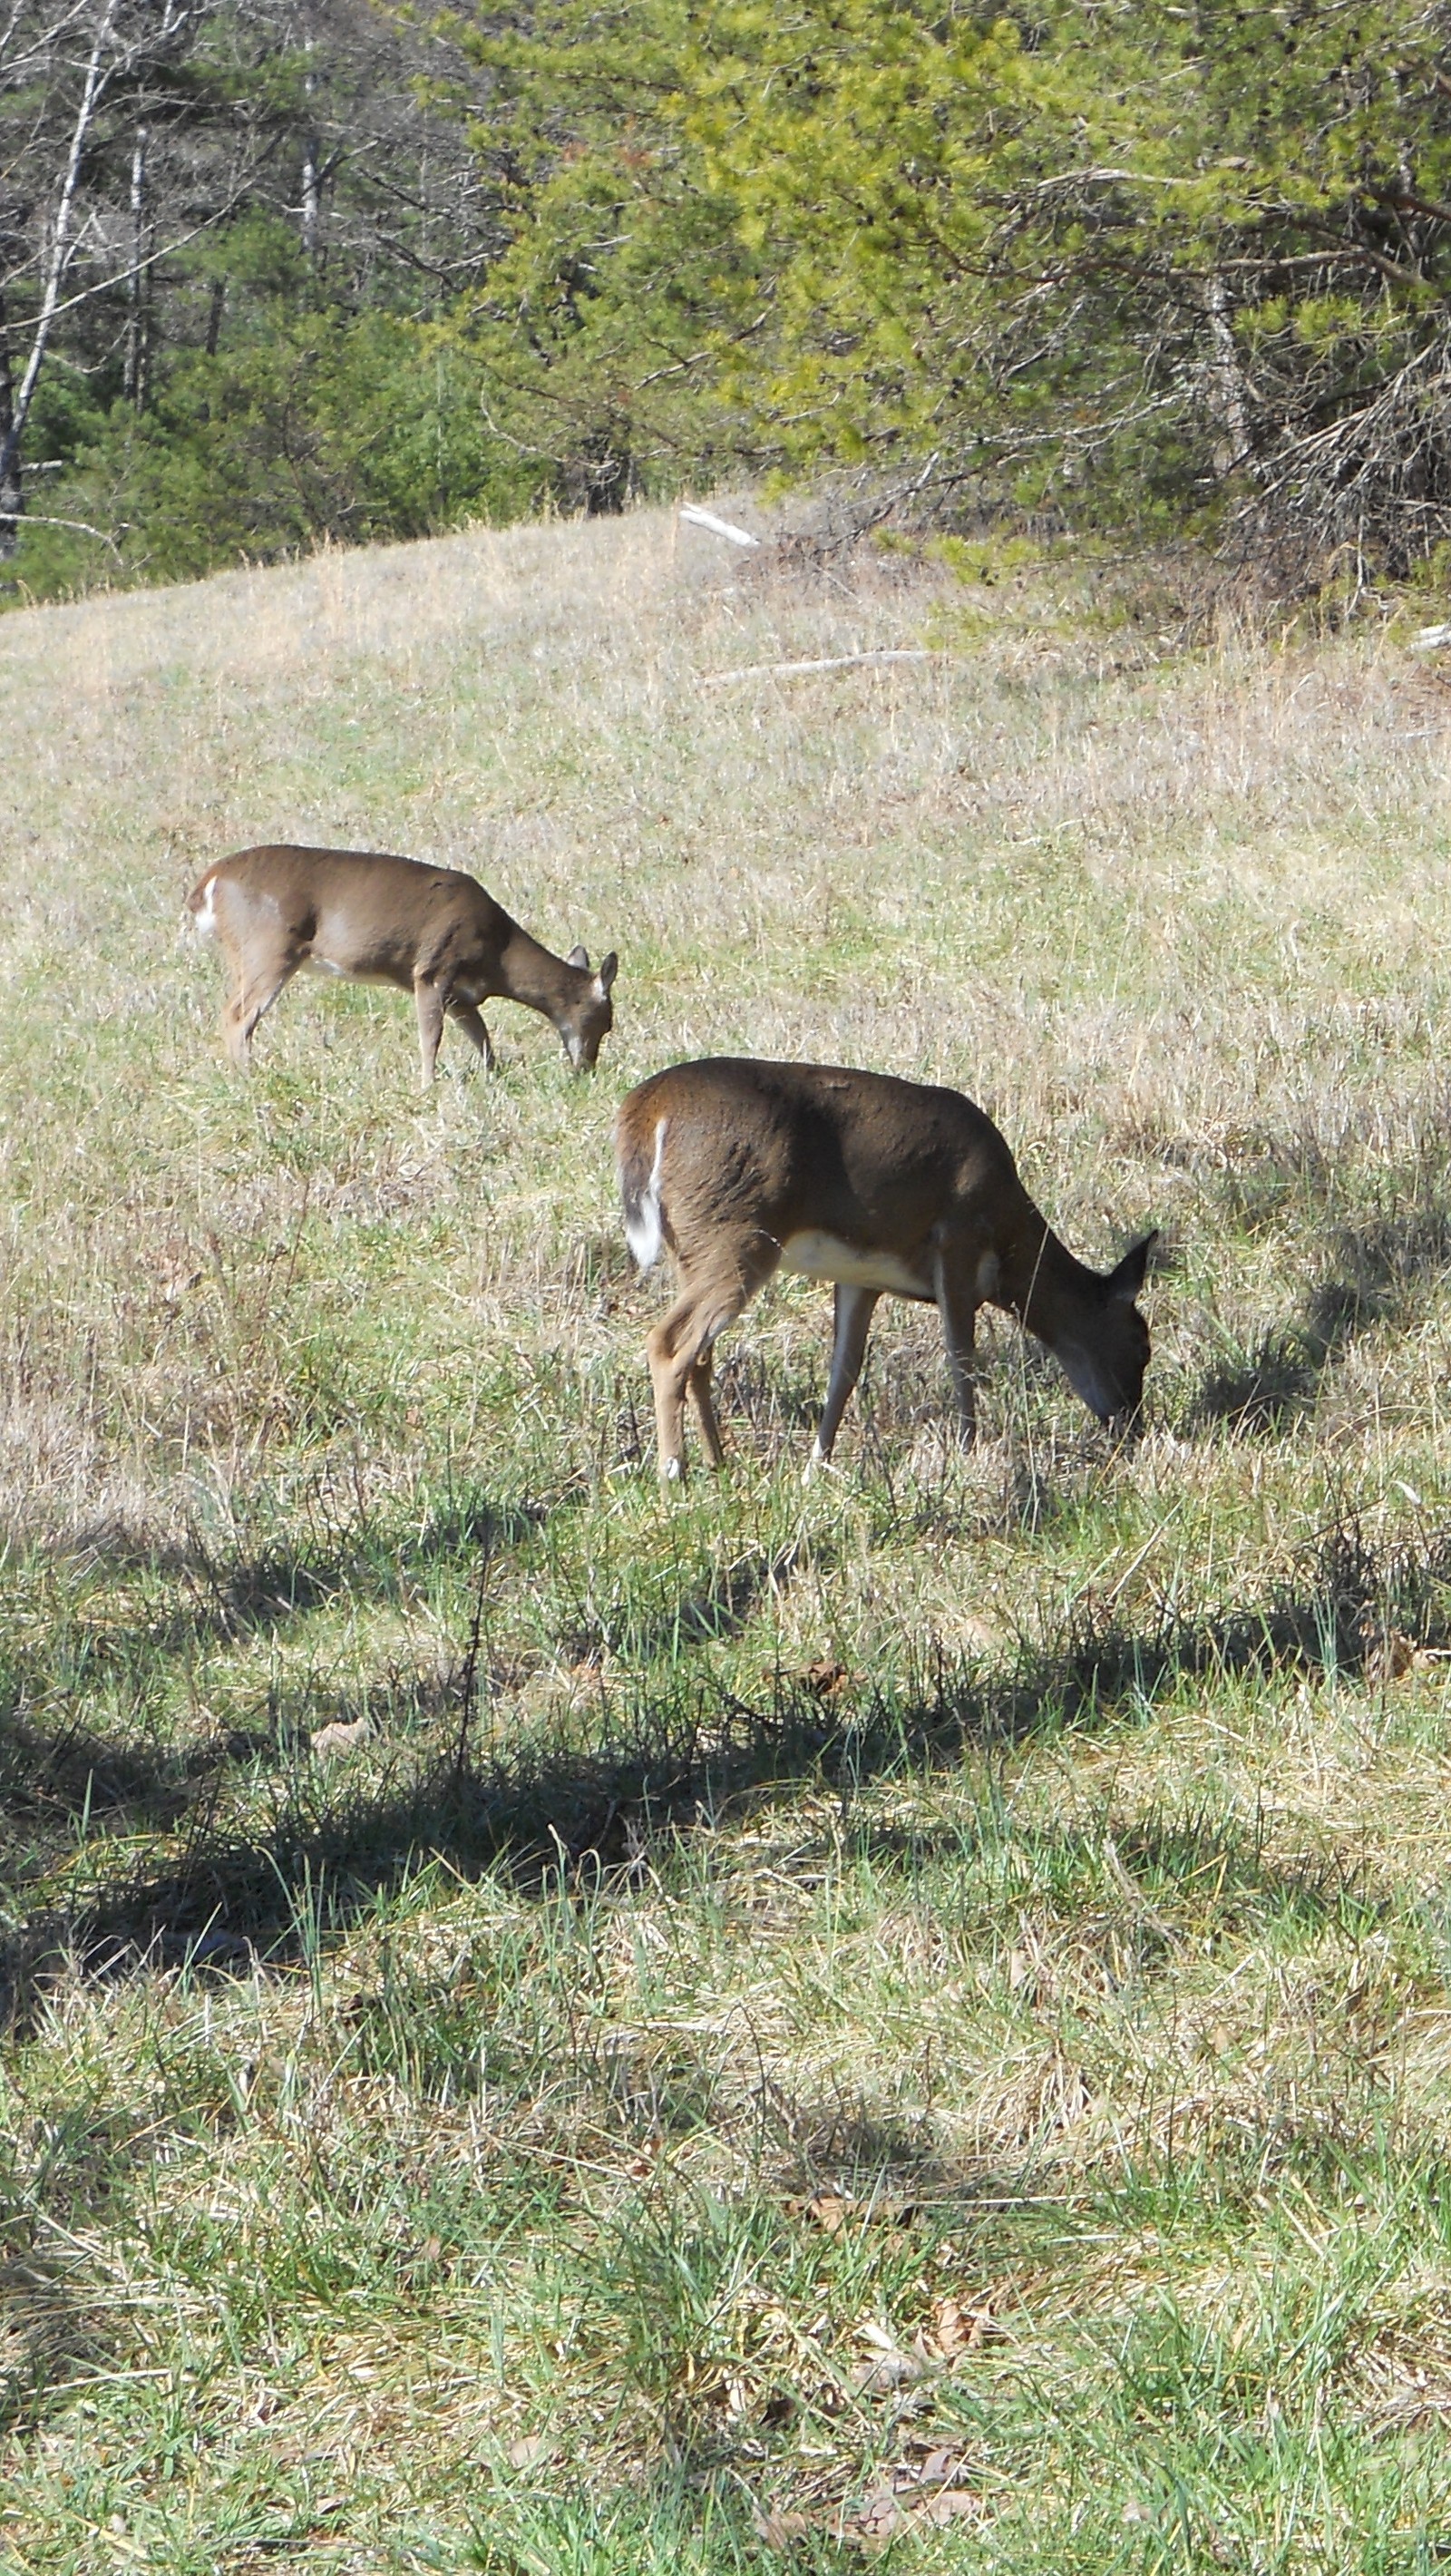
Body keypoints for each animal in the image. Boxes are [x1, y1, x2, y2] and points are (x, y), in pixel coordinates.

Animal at [184, 850, 616, 1081]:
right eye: (606, 1022)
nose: (587, 1069)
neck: (499, 955)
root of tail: (209, 883)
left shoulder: (462, 995)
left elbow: (481, 1038)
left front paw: (493, 1076)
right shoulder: (432, 969)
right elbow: (431, 1037)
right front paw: (428, 1087)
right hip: (268, 947)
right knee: (237, 1015)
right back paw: (249, 1079)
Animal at [618, 1056, 1164, 1483]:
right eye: (1142, 1345)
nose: (1132, 1427)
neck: (1012, 1250)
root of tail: (648, 1107)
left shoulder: (861, 1277)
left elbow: (843, 1370)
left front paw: (817, 1467)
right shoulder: (958, 1236)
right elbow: (961, 1357)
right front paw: (968, 1452)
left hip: (692, 1245)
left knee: (699, 1354)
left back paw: (719, 1463)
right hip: (736, 1231)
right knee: (667, 1343)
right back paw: (673, 1472)